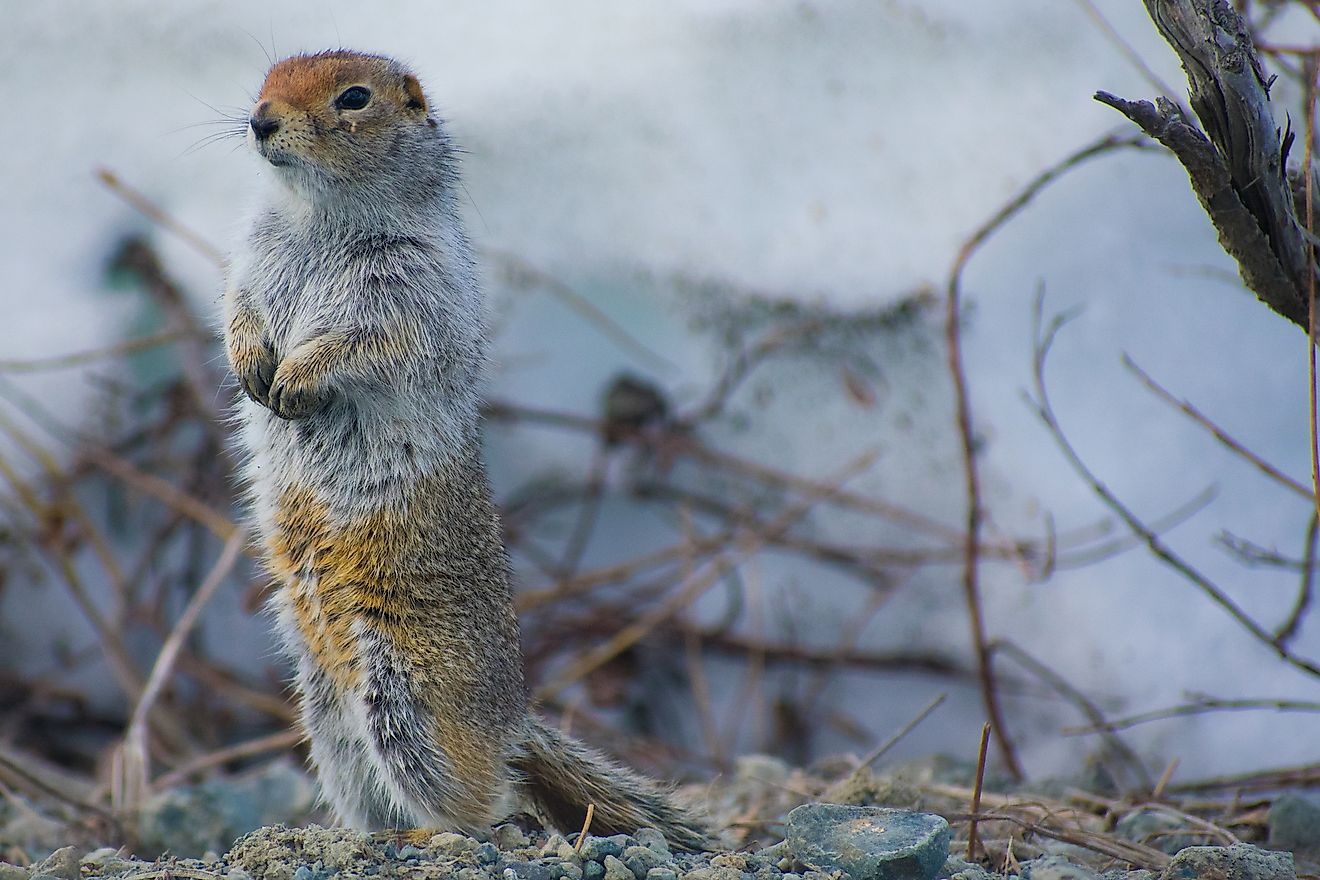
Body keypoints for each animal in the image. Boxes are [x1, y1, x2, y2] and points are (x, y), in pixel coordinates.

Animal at [221, 51, 707, 849]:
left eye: (354, 98)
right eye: (265, 80)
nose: (260, 121)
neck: (322, 215)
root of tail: (513, 725)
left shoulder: (406, 290)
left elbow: (367, 342)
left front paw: (296, 377)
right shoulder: (251, 259)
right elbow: (237, 309)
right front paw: (252, 362)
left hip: (407, 702)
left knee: (490, 808)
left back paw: (435, 832)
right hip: (326, 715)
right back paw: (366, 836)